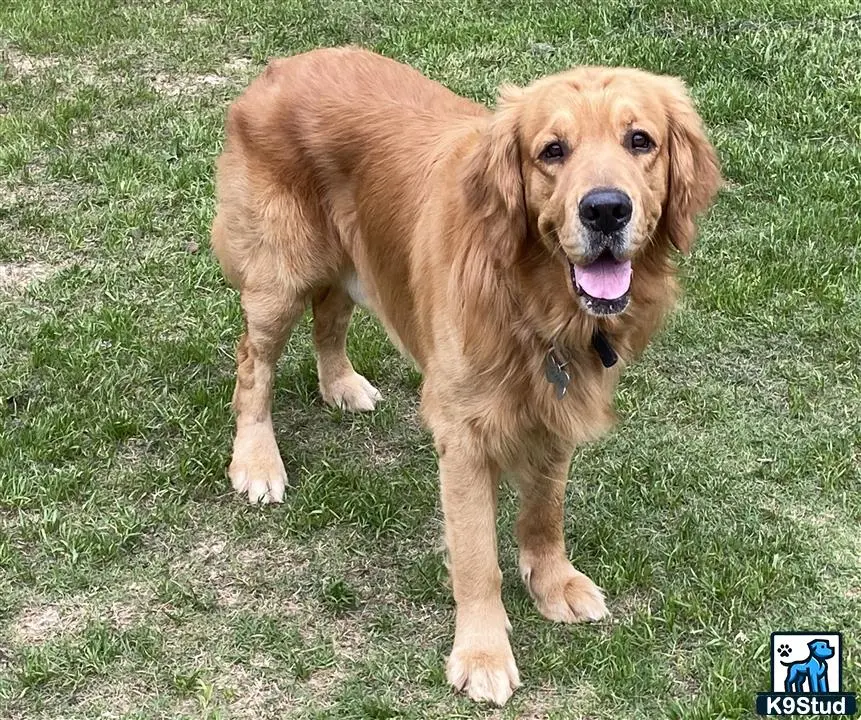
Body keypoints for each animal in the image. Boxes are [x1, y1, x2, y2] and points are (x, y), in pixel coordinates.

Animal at [213, 47, 720, 704]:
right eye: (552, 150)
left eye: (641, 141)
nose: (606, 209)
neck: (533, 301)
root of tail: (280, 66)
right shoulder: (464, 437)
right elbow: (478, 558)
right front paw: (482, 654)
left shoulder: (555, 412)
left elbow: (545, 511)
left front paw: (552, 581)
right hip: (279, 272)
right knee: (254, 365)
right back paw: (256, 461)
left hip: (354, 257)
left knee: (330, 314)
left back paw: (341, 384)